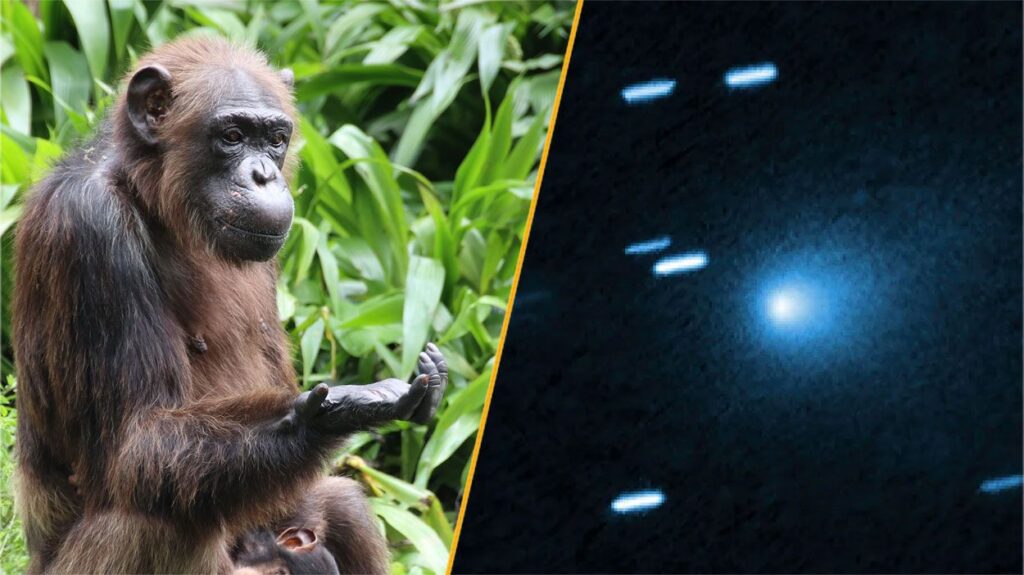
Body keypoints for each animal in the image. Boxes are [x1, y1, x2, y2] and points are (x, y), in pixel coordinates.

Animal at [12, 36, 448, 574]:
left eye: (276, 139)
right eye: (233, 136)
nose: (264, 175)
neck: (153, 196)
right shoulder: (90, 229)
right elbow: (139, 441)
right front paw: (333, 412)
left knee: (343, 503)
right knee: (159, 524)